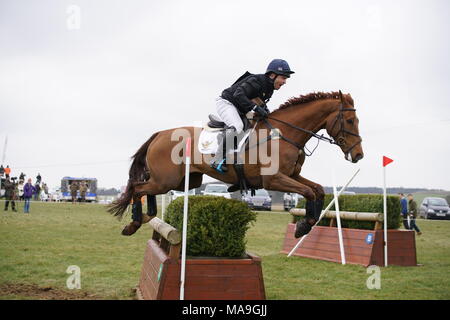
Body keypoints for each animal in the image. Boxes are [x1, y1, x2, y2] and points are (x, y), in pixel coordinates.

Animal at [110, 90, 366, 235]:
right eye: (350, 121)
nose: (358, 155)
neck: (283, 134)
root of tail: (159, 134)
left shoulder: (292, 176)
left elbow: (317, 190)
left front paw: (307, 223)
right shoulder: (274, 179)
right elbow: (309, 192)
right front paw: (303, 226)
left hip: (183, 180)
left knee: (145, 189)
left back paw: (148, 215)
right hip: (167, 180)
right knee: (138, 188)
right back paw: (133, 224)